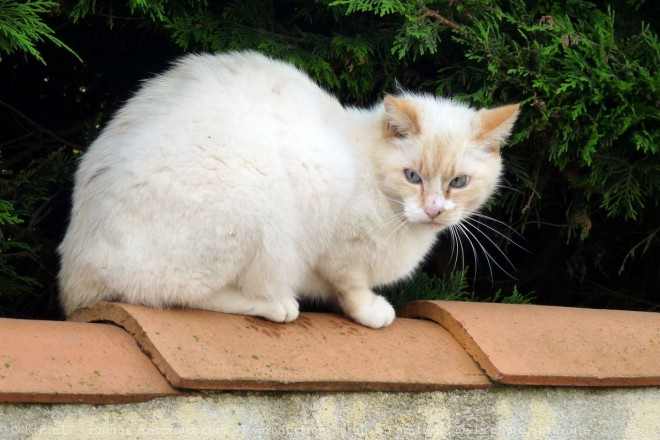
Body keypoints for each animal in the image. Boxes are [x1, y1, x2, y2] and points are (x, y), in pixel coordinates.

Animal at [58, 50, 520, 326]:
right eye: (412, 177)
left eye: (458, 182)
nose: (434, 209)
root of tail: (74, 271)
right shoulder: (338, 244)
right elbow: (350, 286)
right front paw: (371, 310)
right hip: (252, 202)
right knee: (176, 295)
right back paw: (277, 304)